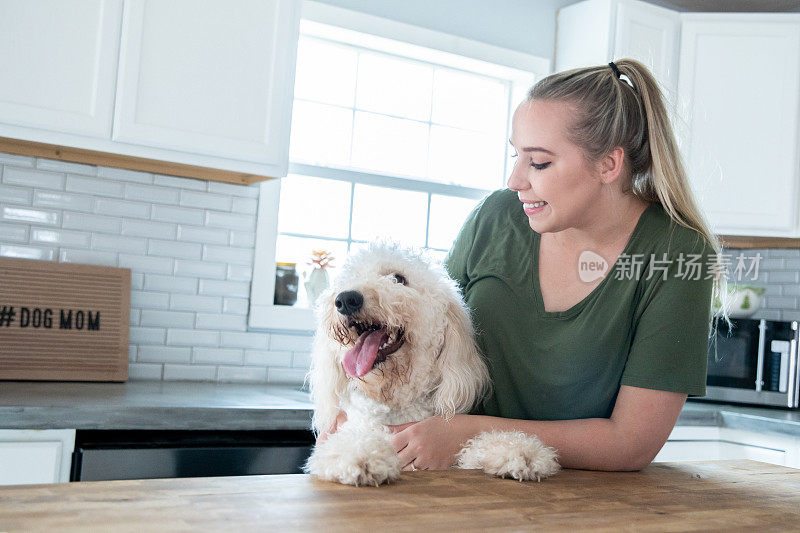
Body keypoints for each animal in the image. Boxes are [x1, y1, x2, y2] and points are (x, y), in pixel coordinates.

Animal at [304, 243, 560, 484]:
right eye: (351, 276)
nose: (346, 299)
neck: (398, 404)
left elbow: (475, 448)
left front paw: (521, 452)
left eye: (399, 279)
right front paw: (362, 456)